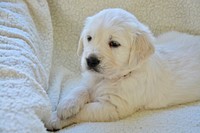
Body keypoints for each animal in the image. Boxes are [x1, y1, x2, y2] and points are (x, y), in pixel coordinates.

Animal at [46, 8, 200, 130]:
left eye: (114, 43)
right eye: (89, 38)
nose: (90, 60)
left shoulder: (114, 107)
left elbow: (85, 110)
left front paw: (54, 119)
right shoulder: (90, 81)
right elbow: (80, 89)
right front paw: (66, 105)